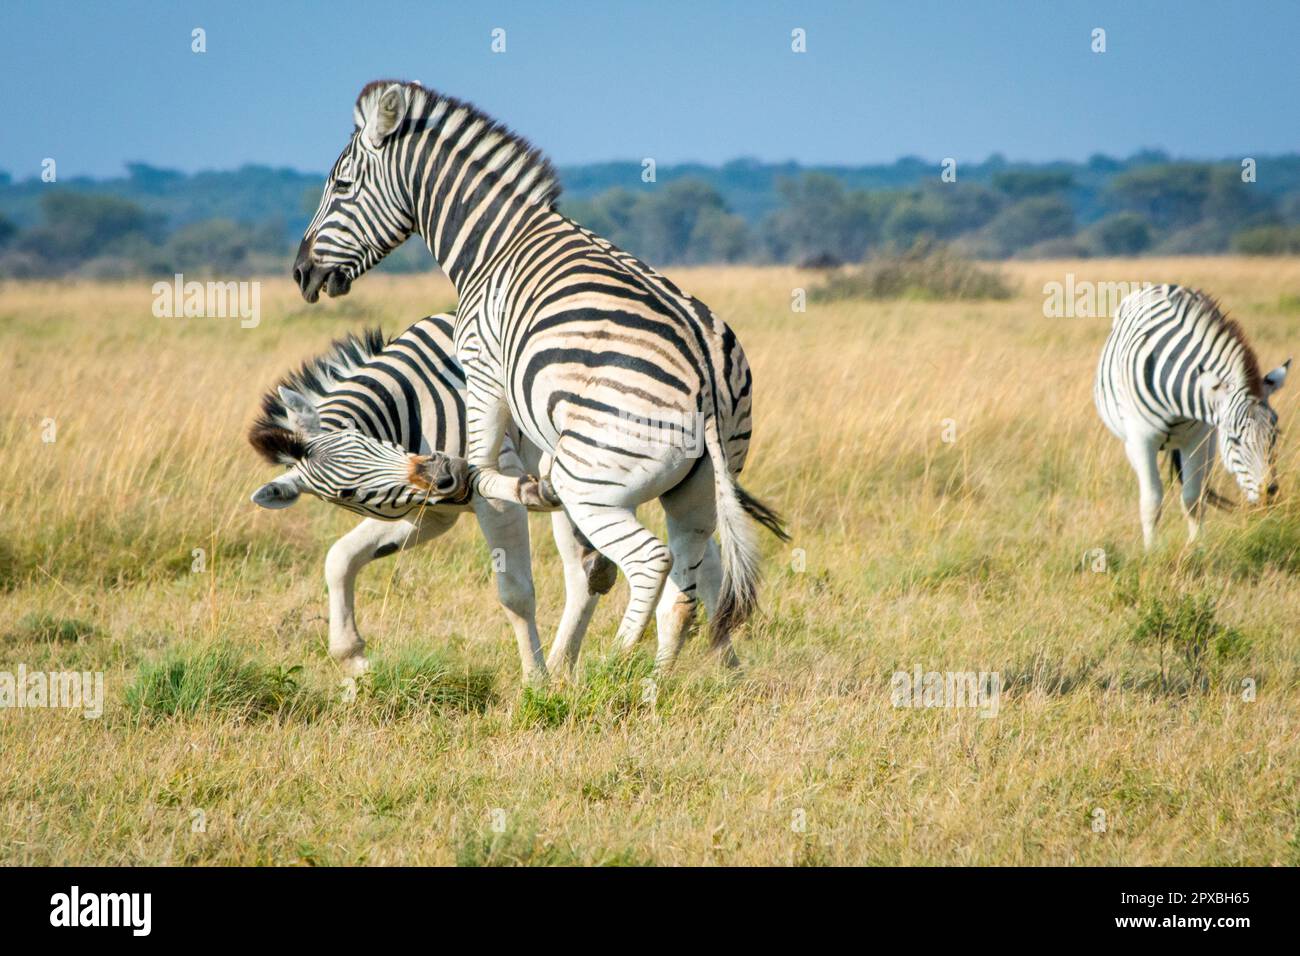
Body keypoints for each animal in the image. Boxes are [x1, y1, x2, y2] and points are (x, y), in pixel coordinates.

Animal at [249, 312, 629, 681]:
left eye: (369, 440)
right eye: (350, 493)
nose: (450, 475)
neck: (413, 404)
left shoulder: (499, 494)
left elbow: (515, 592)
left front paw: (535, 682)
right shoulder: (432, 514)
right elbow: (340, 557)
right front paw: (354, 660)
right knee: (585, 576)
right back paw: (565, 668)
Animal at [295, 82, 785, 671]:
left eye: (341, 185)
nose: (301, 272)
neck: (494, 240)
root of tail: (707, 372)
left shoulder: (482, 365)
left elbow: (482, 461)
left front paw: (485, 480)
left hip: (594, 485)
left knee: (649, 562)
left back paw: (615, 665)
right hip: (698, 488)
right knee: (689, 586)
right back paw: (659, 679)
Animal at [1092, 283, 1284, 548]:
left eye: (1274, 436)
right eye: (1235, 440)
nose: (1269, 493)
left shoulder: (1197, 440)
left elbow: (1193, 498)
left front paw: (1197, 548)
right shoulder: (1142, 440)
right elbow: (1151, 501)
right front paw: (1151, 551)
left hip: (1210, 444)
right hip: (1132, 440)